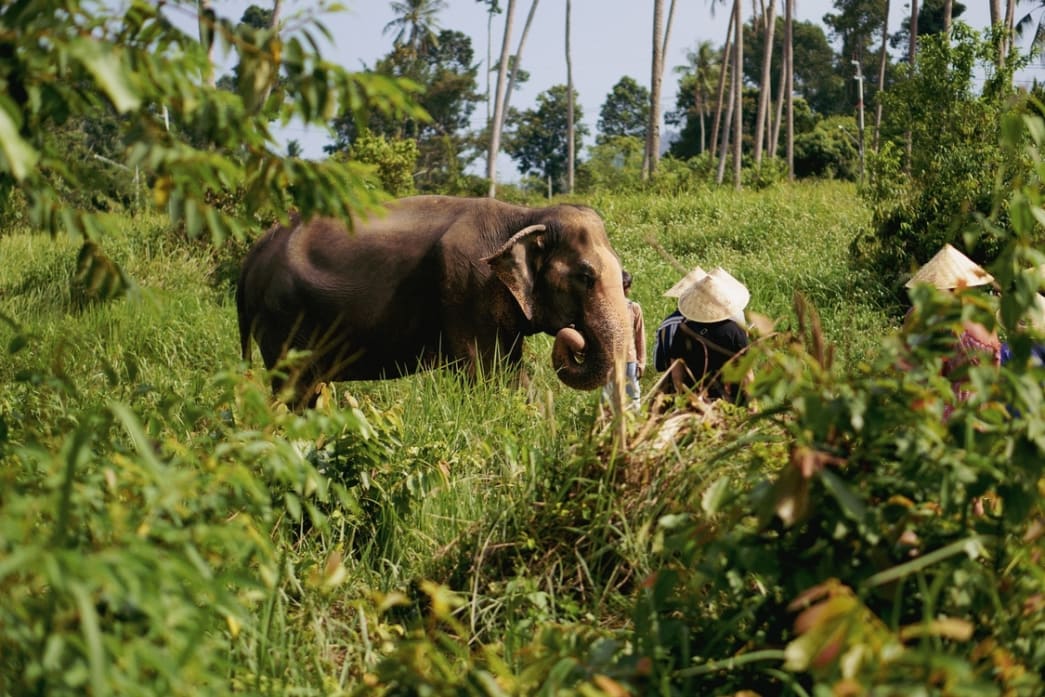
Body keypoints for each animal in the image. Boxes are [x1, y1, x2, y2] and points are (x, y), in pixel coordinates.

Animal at [236, 195, 632, 405]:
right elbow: (484, 372)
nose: (575, 337)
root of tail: (255, 251)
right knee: (297, 389)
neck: (523, 215)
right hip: (283, 319)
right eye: (585, 277)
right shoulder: (468, 286)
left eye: (626, 279)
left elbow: (512, 371)